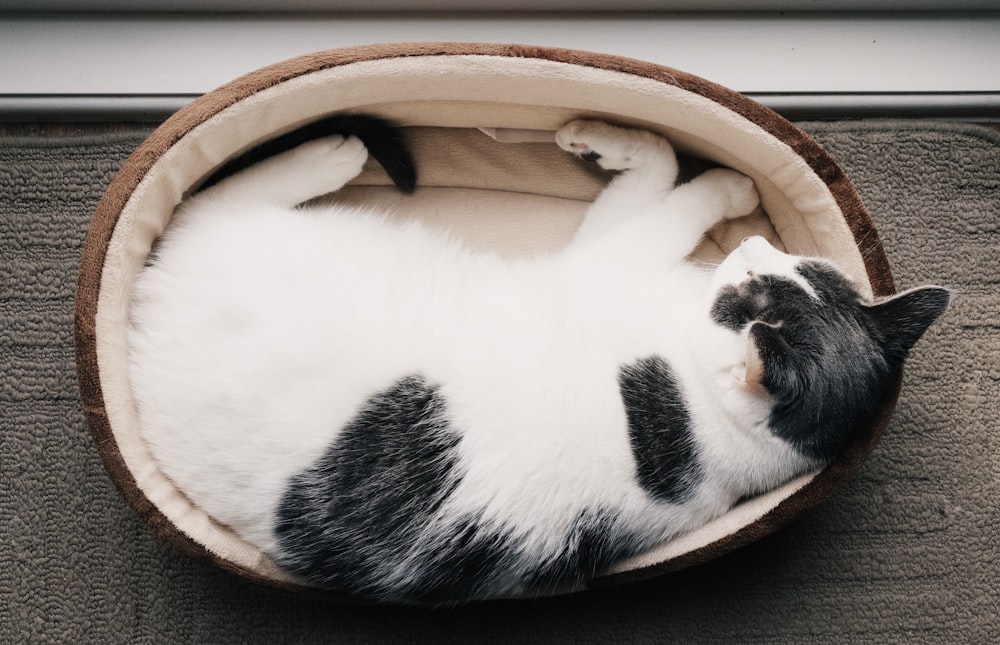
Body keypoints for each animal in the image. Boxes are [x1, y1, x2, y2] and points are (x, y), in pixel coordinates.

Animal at [129, 115, 948, 604]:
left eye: (750, 293)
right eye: (792, 270)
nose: (752, 244)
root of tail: (139, 323)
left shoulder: (603, 262)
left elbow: (671, 197)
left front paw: (722, 181)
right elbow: (659, 168)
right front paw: (630, 147)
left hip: (244, 235)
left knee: (204, 199)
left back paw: (327, 154)